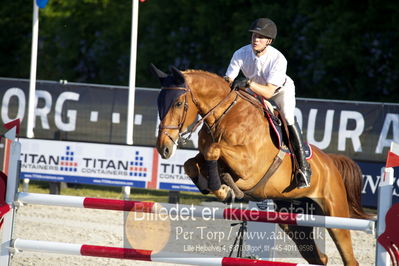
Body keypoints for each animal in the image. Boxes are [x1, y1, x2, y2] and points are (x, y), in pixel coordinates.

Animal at [153, 65, 372, 266]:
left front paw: (224, 189)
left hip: (335, 217)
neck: (226, 114)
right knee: (319, 257)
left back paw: (304, 175)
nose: (164, 148)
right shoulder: (212, 158)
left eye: (178, 103)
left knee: (348, 257)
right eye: (159, 103)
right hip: (294, 223)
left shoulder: (249, 165)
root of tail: (330, 162)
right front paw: (222, 188)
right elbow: (191, 163)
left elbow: (213, 151)